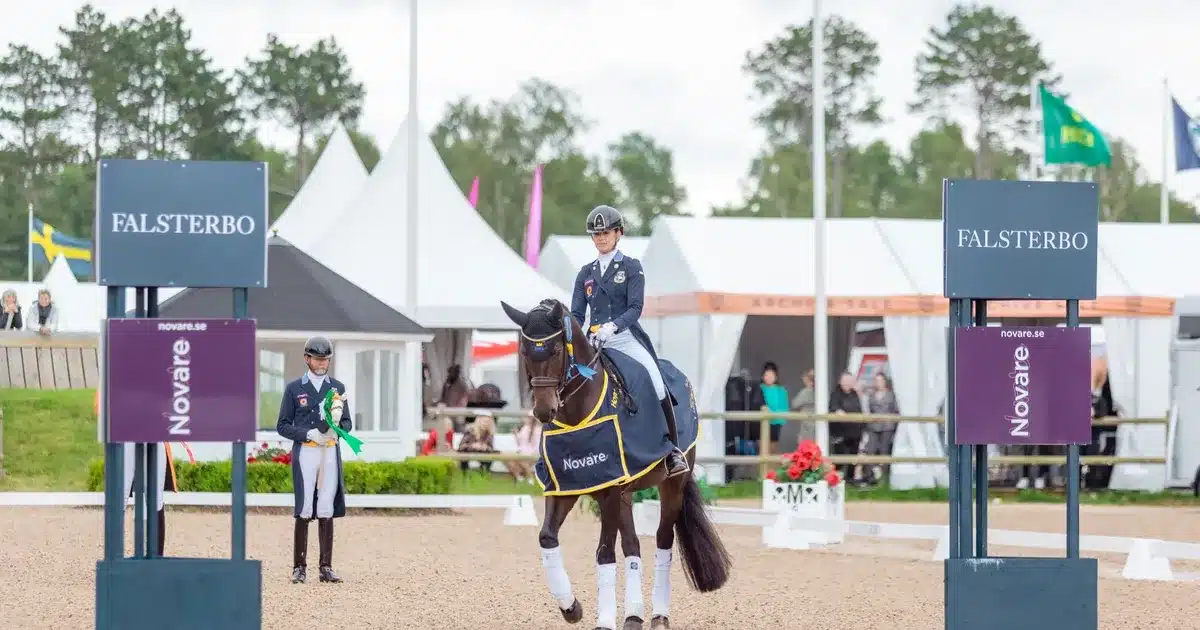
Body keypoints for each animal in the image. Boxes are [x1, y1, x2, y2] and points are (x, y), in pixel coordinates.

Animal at [500, 299, 732, 630]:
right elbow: (547, 538)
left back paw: (659, 616)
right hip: (625, 492)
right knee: (632, 545)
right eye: (524, 352)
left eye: (555, 350)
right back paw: (633, 615)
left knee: (663, 538)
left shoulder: (608, 491)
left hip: (671, 484)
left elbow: (604, 553)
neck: (577, 414)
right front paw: (571, 608)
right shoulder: (567, 487)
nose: (544, 411)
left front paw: (604, 620)